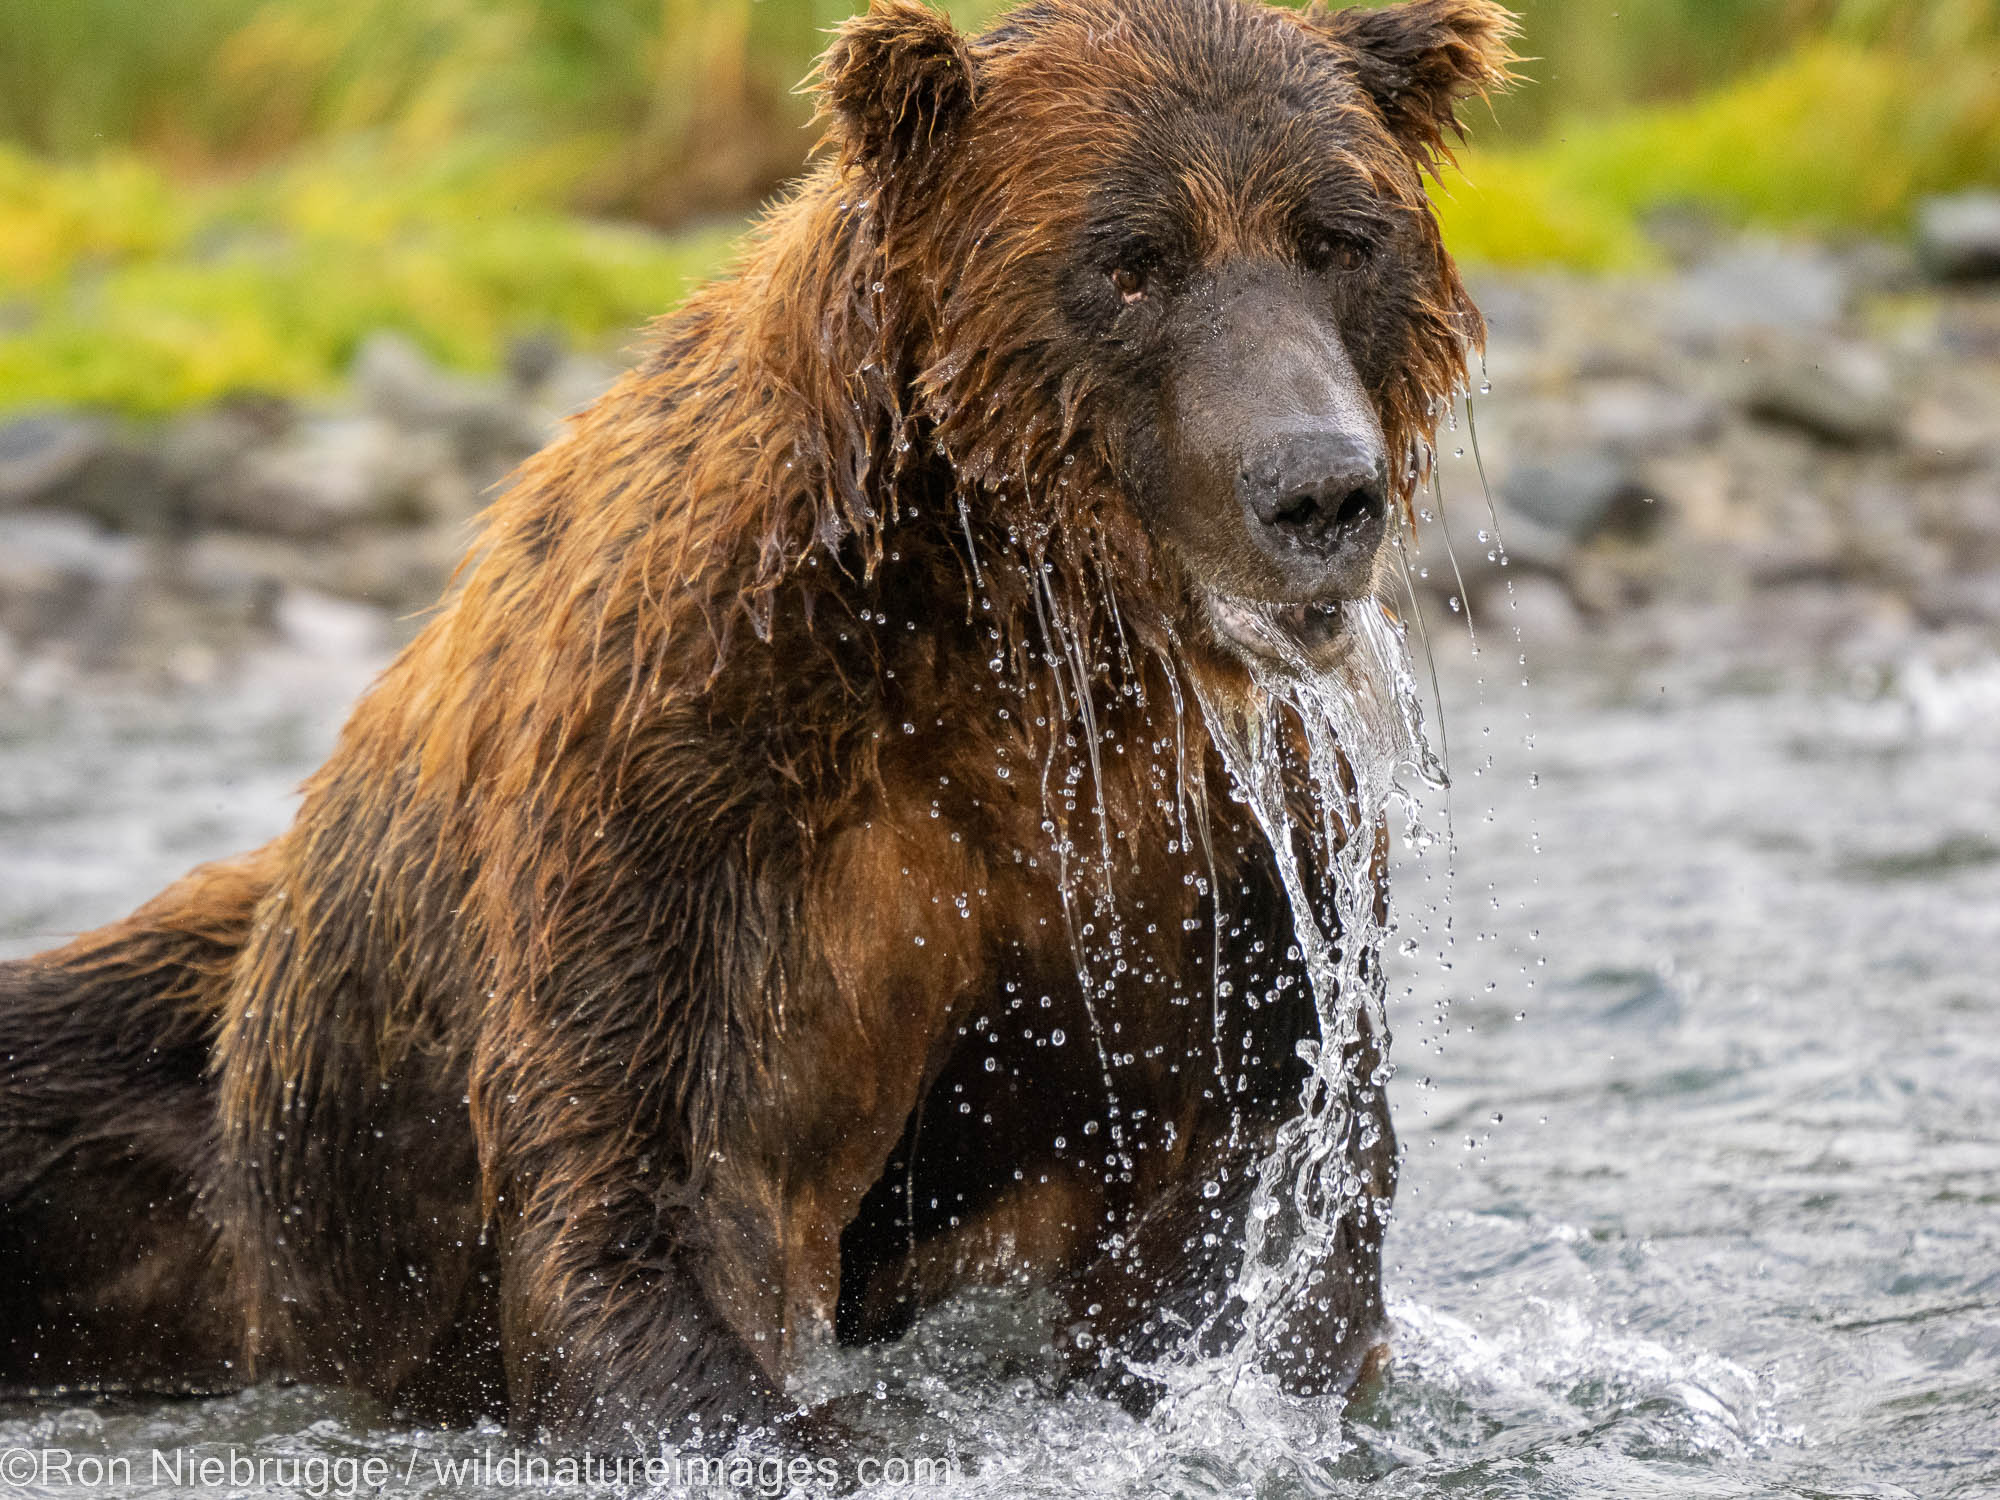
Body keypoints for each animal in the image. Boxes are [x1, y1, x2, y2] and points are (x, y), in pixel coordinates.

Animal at [0, 0, 1512, 1456]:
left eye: (1338, 240)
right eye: (1133, 261)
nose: (1317, 491)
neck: (1007, 638)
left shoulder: (1208, 838)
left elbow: (1255, 1167)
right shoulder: (693, 793)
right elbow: (664, 1185)